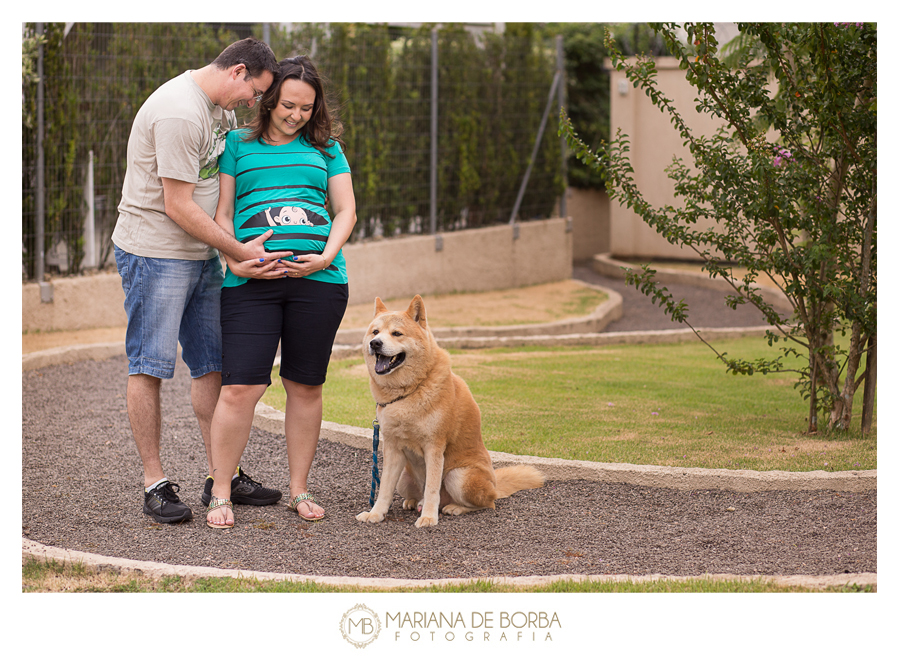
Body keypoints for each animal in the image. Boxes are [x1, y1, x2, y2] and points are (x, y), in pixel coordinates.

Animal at [356, 294, 540, 524]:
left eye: (396, 333)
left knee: (487, 504)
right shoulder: (392, 448)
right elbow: (384, 490)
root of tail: (495, 485)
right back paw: (412, 502)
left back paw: (454, 508)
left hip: (458, 476)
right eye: (375, 332)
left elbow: (432, 488)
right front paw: (375, 513)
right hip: (404, 478)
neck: (411, 390)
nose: (375, 343)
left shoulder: (434, 447)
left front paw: (428, 518)